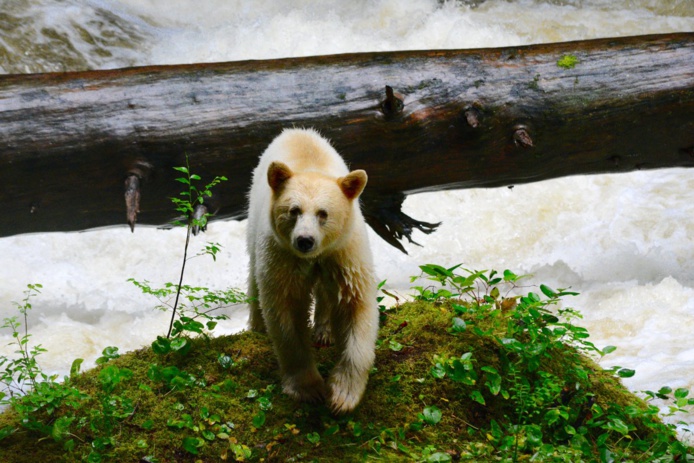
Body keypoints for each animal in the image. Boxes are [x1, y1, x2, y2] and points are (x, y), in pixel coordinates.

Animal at [246, 128, 378, 414]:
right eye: (294, 210)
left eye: (323, 213)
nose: (304, 240)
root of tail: (296, 130)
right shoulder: (281, 257)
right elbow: (285, 314)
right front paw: (309, 388)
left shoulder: (344, 253)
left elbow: (355, 305)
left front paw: (342, 394)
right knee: (253, 274)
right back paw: (256, 326)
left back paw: (323, 331)